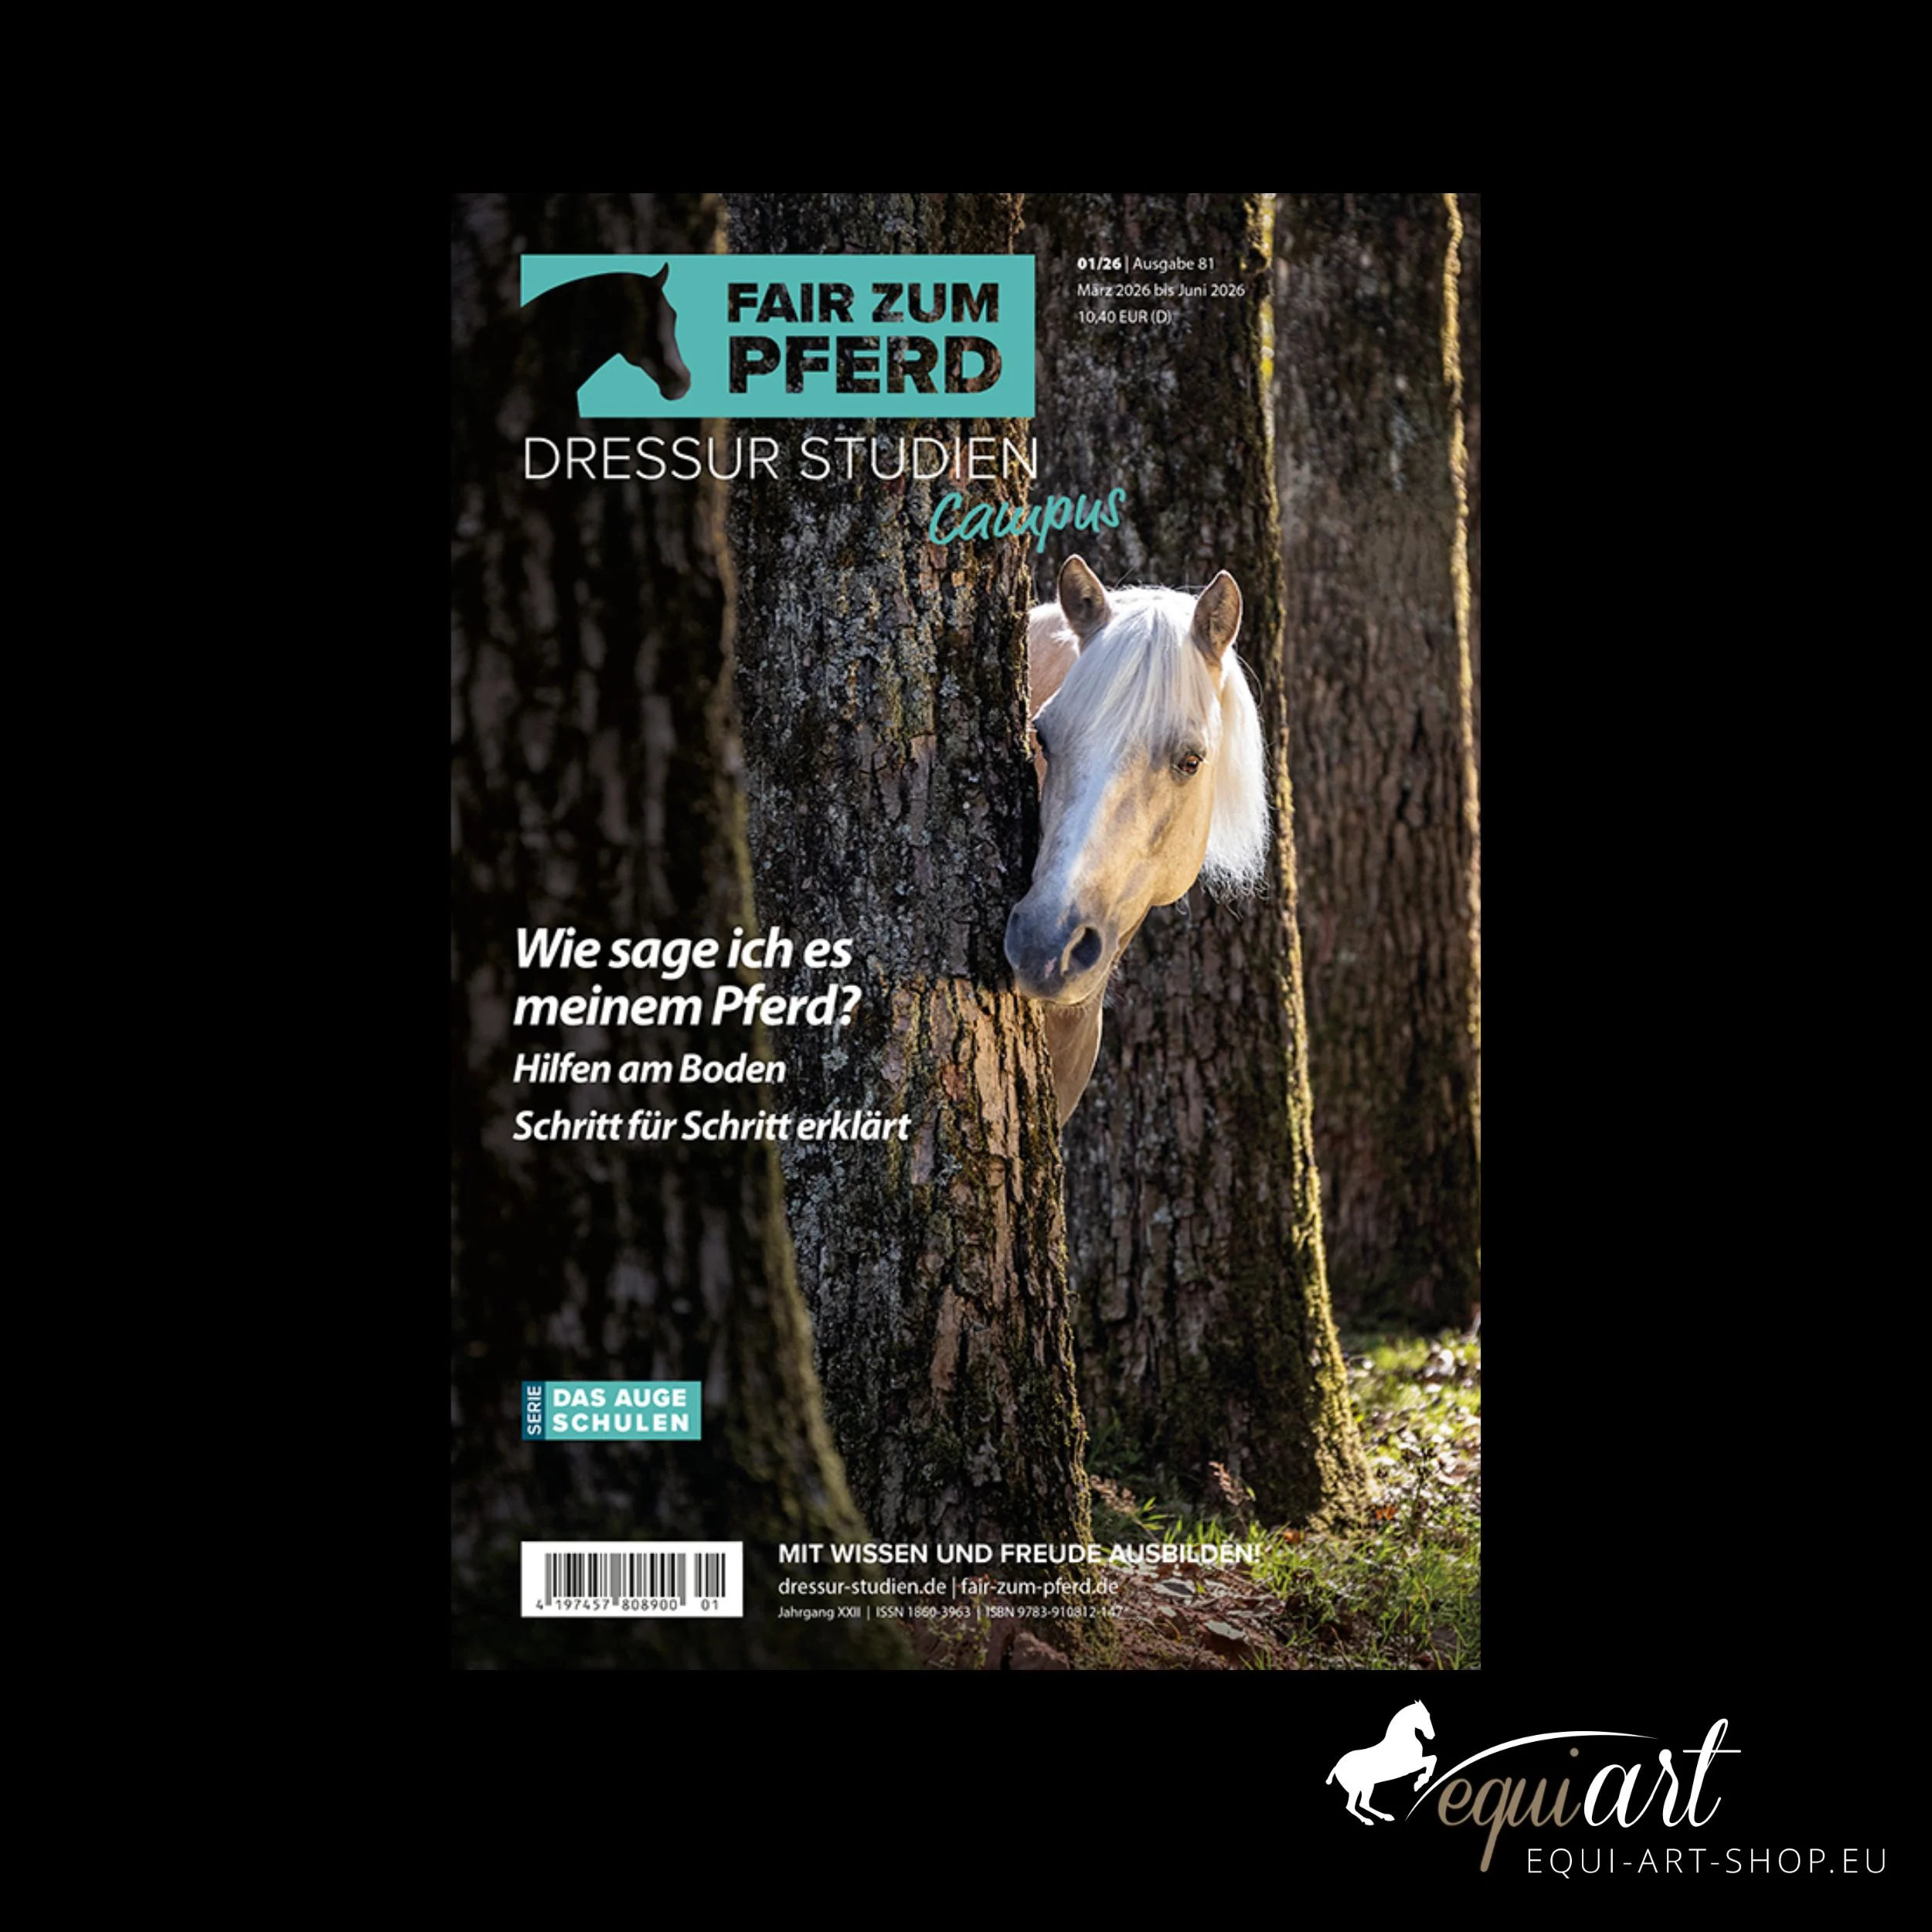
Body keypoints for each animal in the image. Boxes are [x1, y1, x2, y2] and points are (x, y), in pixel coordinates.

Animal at [1326, 1700, 1437, 1825]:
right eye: (1424, 1716)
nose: (1432, 1736)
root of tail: (1336, 1767)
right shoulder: (1411, 1766)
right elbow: (1432, 1759)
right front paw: (1419, 1784)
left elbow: (1433, 1759)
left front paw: (1420, 1782)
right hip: (1357, 1789)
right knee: (1351, 1806)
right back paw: (1368, 1821)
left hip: (1367, 1786)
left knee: (1363, 1804)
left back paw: (1385, 1817)